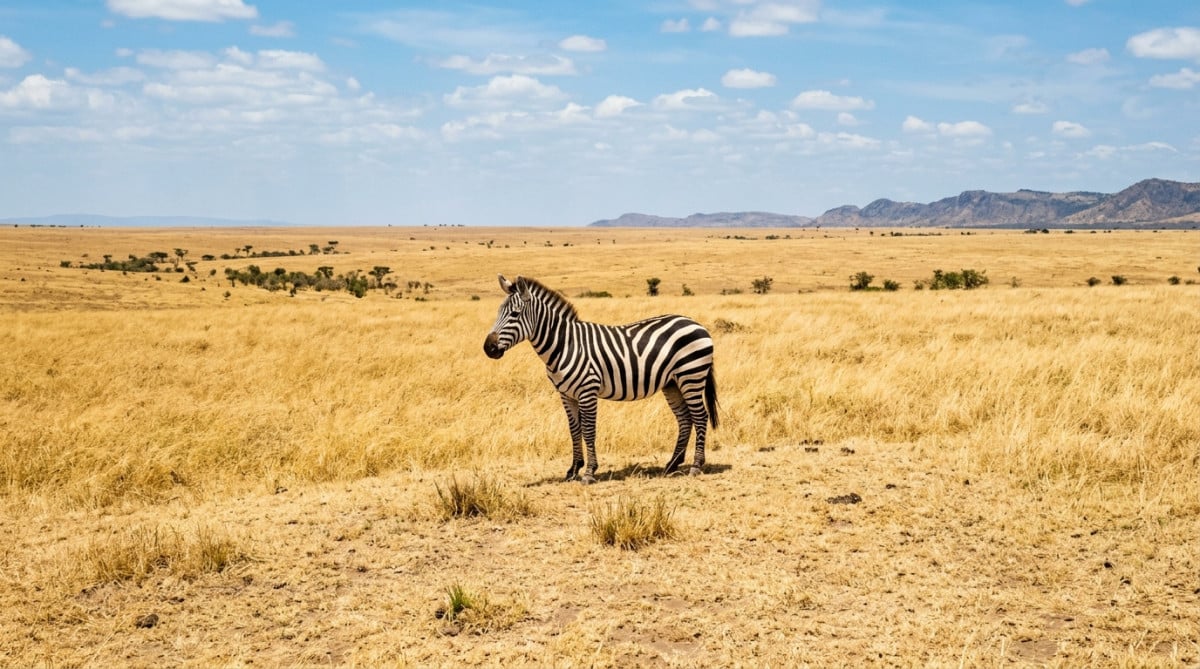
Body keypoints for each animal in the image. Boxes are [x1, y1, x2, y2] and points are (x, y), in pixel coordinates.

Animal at [483, 274, 719, 483]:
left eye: (515, 314)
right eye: (498, 312)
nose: (488, 348)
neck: (565, 345)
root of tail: (694, 322)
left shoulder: (588, 391)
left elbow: (588, 431)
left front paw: (589, 472)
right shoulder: (566, 395)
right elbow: (574, 430)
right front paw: (573, 470)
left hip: (691, 376)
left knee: (700, 416)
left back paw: (696, 466)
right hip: (672, 383)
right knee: (685, 419)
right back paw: (671, 464)